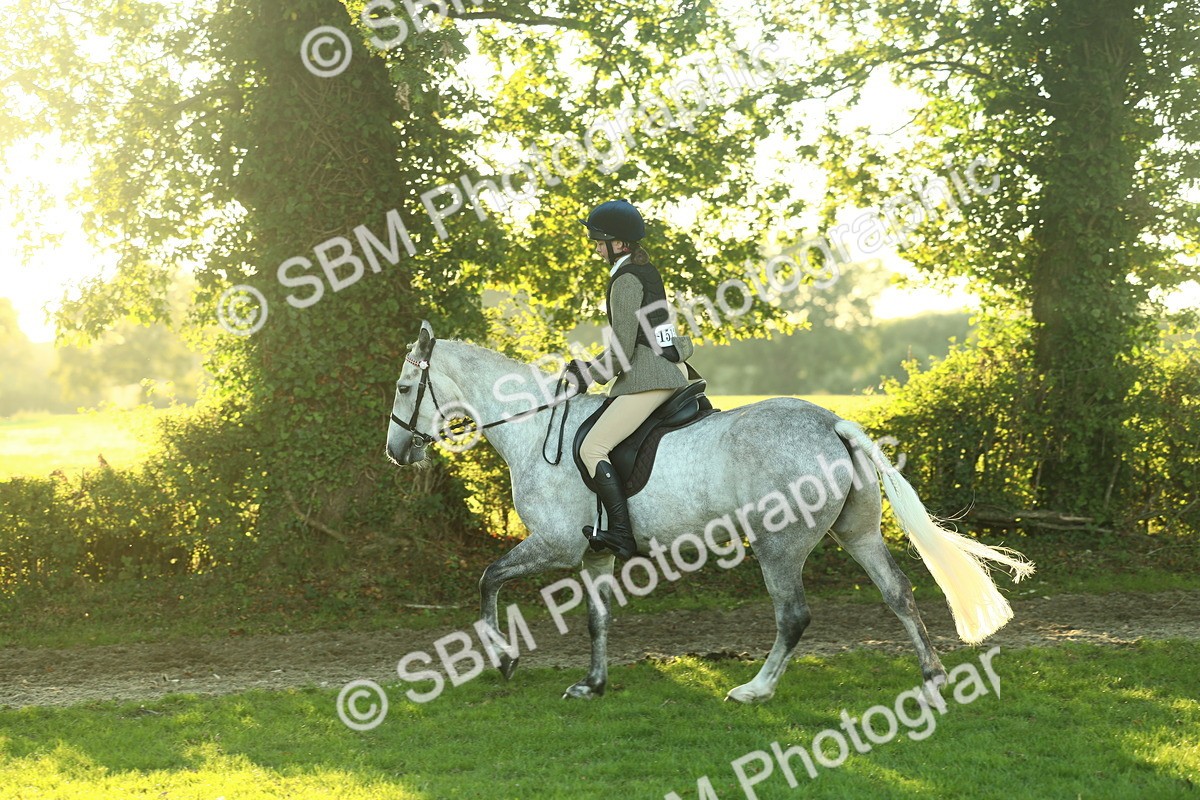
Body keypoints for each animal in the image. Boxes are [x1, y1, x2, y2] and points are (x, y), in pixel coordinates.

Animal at [385, 321, 1034, 704]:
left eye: (403, 389)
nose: (396, 452)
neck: (531, 426)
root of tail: (832, 422)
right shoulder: (592, 557)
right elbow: (597, 619)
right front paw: (593, 684)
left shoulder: (555, 544)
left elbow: (488, 579)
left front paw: (503, 660)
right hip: (858, 534)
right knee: (898, 592)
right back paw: (933, 679)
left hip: (777, 545)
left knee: (793, 616)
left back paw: (754, 690)